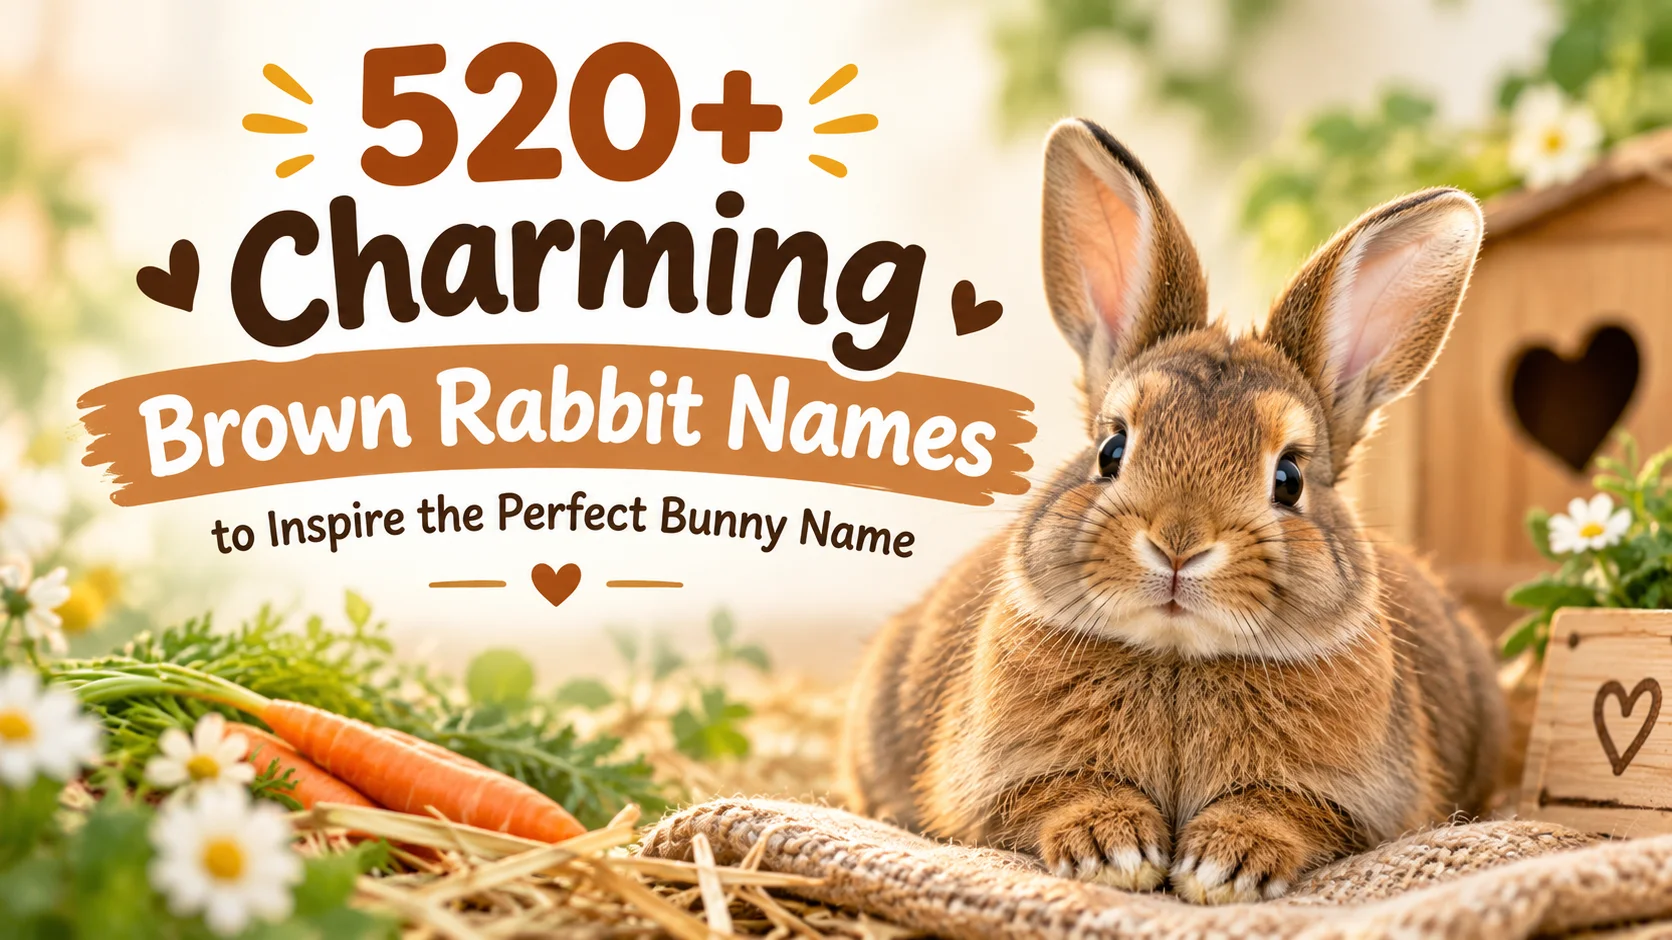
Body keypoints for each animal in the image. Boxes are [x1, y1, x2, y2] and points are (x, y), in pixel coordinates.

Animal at [840, 118, 1506, 905]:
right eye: (1111, 450)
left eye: (1289, 478)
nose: (1179, 545)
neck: (1179, 656)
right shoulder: (994, 783)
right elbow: (1059, 793)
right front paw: (1114, 849)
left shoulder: (1356, 802)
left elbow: (1287, 810)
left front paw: (1225, 863)